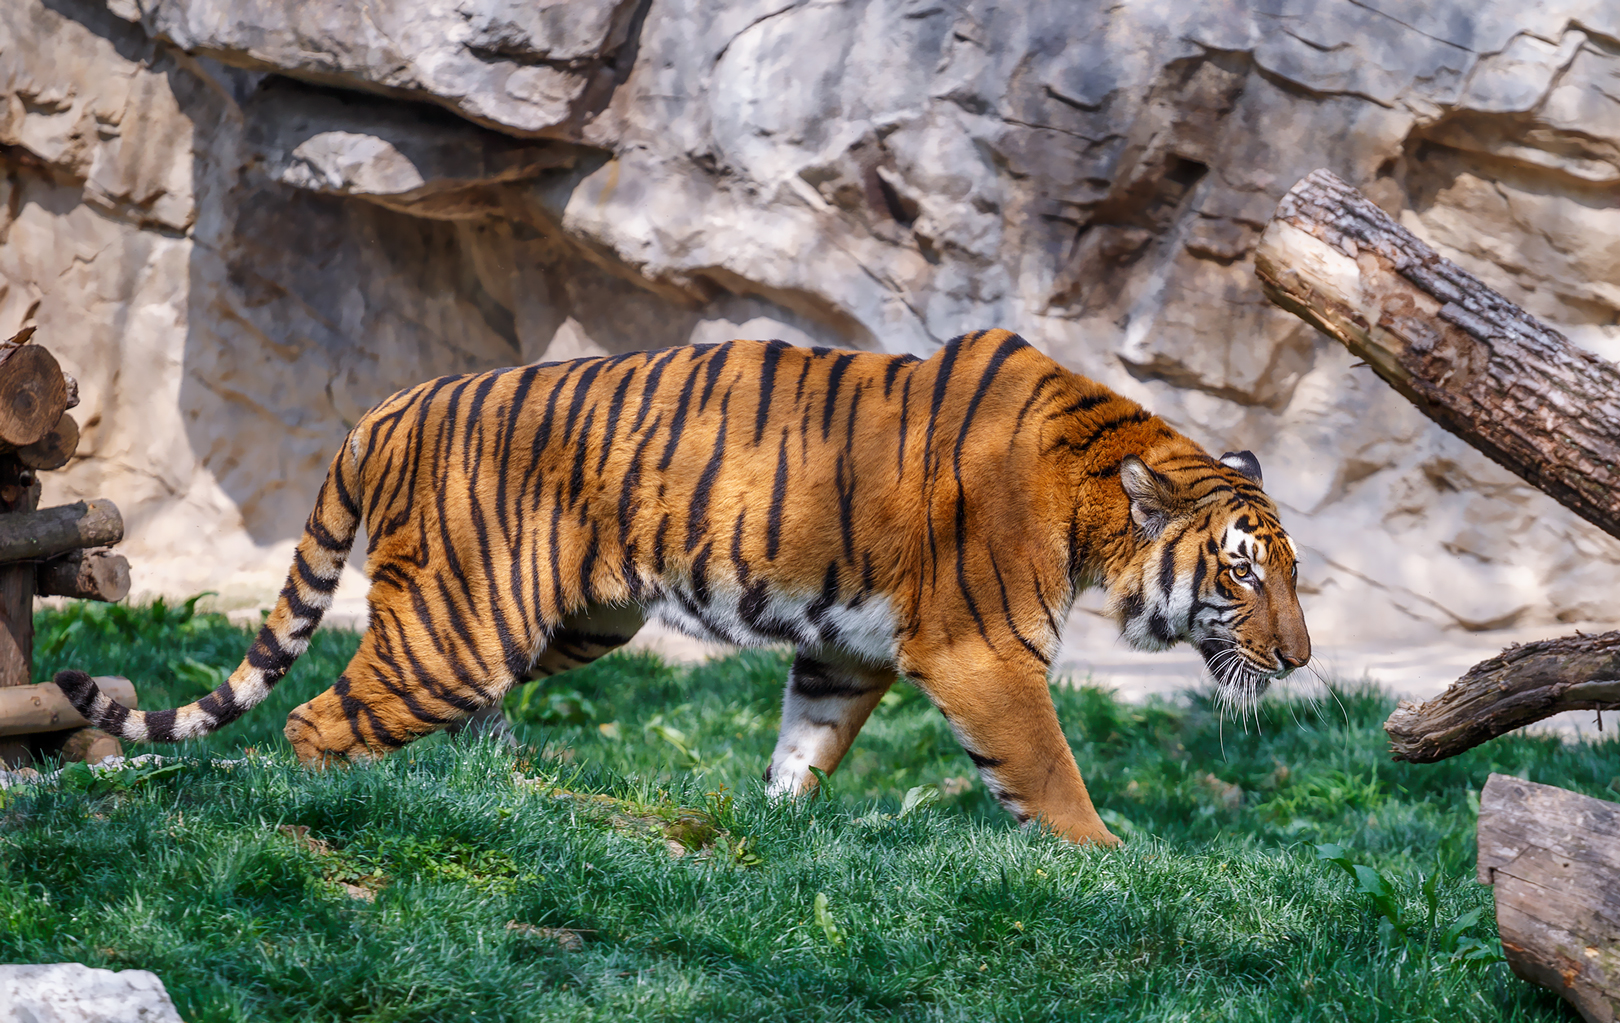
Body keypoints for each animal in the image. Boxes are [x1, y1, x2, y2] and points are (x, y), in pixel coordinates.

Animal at [58, 328, 1310, 845]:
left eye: (1294, 578)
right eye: (1241, 576)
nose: (1301, 662)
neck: (1099, 494)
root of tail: (390, 405)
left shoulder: (846, 647)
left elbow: (808, 745)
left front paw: (777, 830)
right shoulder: (986, 653)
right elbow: (1049, 776)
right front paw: (1115, 867)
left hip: (569, 621)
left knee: (450, 722)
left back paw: (510, 794)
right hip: (463, 627)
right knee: (320, 724)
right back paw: (340, 812)